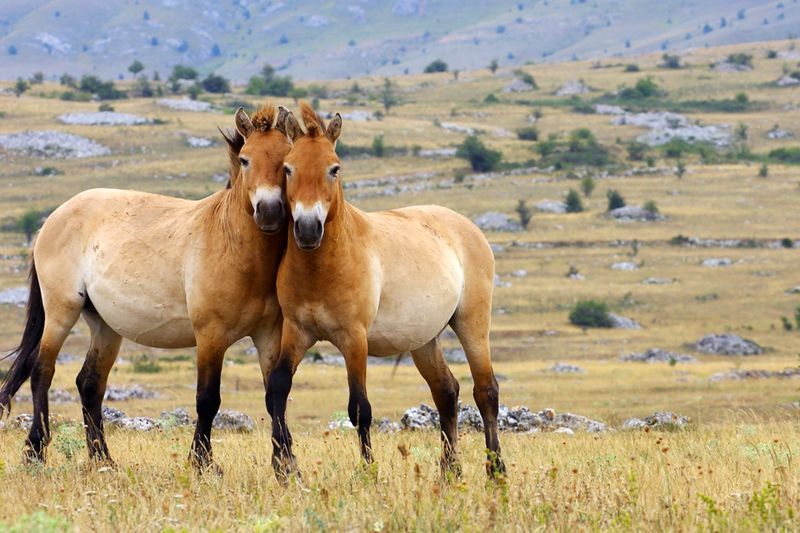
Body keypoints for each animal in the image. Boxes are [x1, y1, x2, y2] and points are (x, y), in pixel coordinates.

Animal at [0, 103, 290, 470]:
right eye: (245, 159)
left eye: (287, 159)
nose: (269, 211)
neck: (233, 246)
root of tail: (53, 217)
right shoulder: (210, 336)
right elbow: (208, 398)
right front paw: (203, 463)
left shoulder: (268, 335)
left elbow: (275, 395)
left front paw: (286, 464)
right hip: (62, 311)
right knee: (42, 370)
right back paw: (35, 452)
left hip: (104, 325)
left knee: (89, 384)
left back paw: (103, 459)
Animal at [266, 102, 510, 480]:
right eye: (288, 168)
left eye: (334, 168)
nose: (307, 229)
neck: (323, 268)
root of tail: (467, 226)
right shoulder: (297, 332)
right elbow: (278, 389)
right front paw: (284, 468)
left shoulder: (354, 339)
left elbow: (359, 408)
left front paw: (369, 472)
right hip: (425, 339)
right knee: (446, 391)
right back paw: (449, 471)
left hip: (472, 322)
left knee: (486, 391)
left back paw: (495, 470)